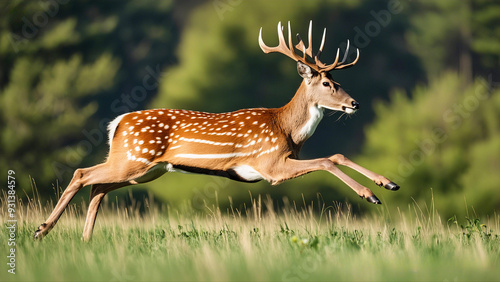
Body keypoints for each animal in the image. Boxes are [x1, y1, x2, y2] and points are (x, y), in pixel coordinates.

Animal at [34, 20, 398, 241]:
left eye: (339, 81)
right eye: (326, 83)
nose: (354, 104)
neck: (287, 131)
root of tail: (117, 123)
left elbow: (336, 154)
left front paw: (388, 183)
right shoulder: (269, 164)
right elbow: (327, 160)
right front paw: (371, 194)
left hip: (144, 169)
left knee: (98, 186)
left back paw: (84, 239)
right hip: (133, 158)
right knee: (82, 174)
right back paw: (42, 229)